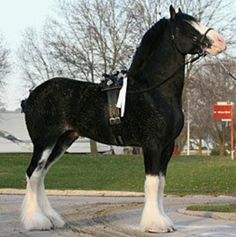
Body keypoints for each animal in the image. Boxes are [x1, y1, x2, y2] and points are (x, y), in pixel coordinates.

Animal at [21, 6, 226, 233]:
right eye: (187, 27)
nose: (221, 42)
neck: (153, 91)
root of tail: (32, 95)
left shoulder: (167, 146)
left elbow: (161, 183)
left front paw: (164, 221)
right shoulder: (152, 145)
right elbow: (152, 183)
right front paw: (155, 225)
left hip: (62, 141)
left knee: (41, 175)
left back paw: (51, 219)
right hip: (44, 142)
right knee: (33, 173)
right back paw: (36, 222)